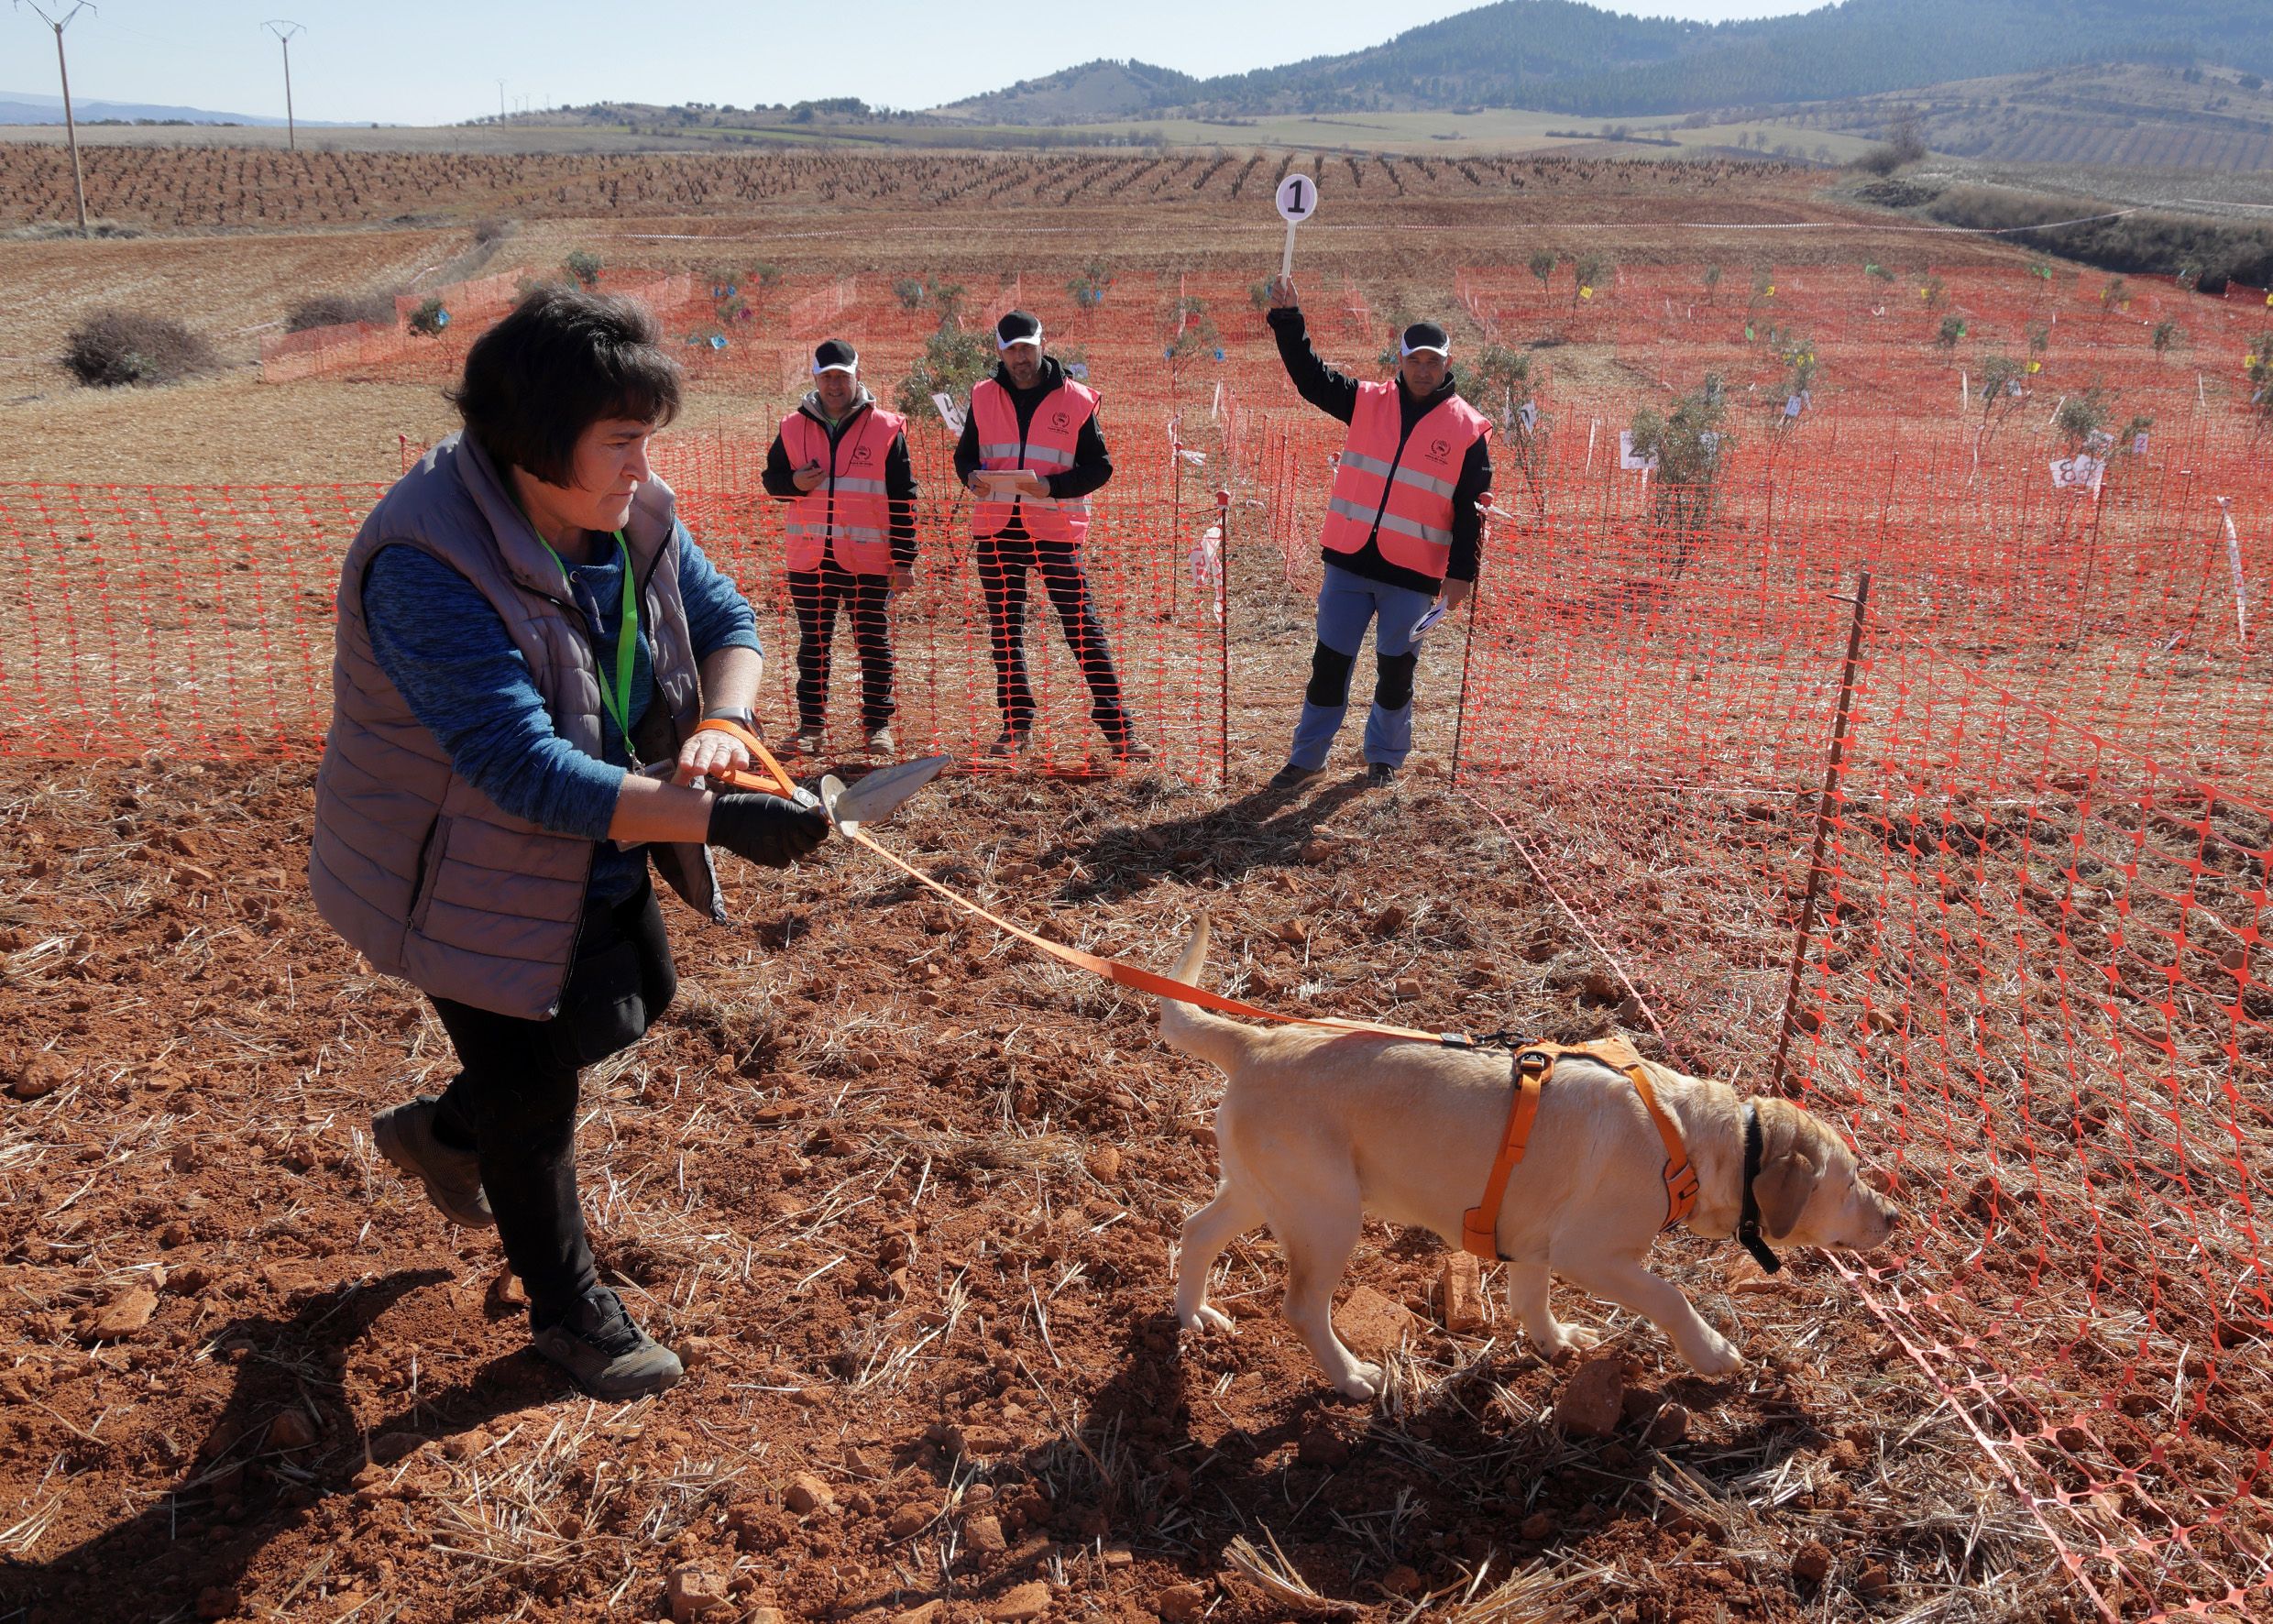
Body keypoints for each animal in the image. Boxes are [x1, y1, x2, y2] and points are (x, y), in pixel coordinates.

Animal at [1163, 922, 1891, 1408]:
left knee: (1196, 1231)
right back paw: (1353, 1377)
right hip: (1326, 1214)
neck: (1692, 1136)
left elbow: (1531, 1300)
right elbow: (1670, 1296)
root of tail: (1255, 1040)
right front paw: (1712, 1353)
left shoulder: (1535, 1242)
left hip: (1265, 1191)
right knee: (1301, 1308)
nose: (1892, 1216)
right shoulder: (1589, 1253)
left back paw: (1195, 1317)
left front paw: (1554, 1340)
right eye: (1851, 1180)